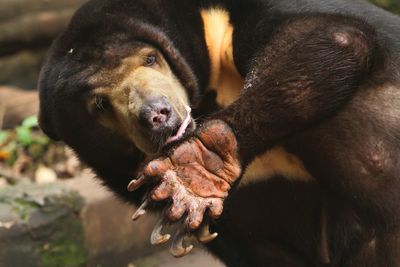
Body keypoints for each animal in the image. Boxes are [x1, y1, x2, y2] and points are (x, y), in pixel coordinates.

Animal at [37, 1, 400, 266]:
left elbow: (333, 37)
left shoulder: (223, 26)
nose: (157, 115)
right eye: (99, 104)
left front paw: (196, 166)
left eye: (151, 59)